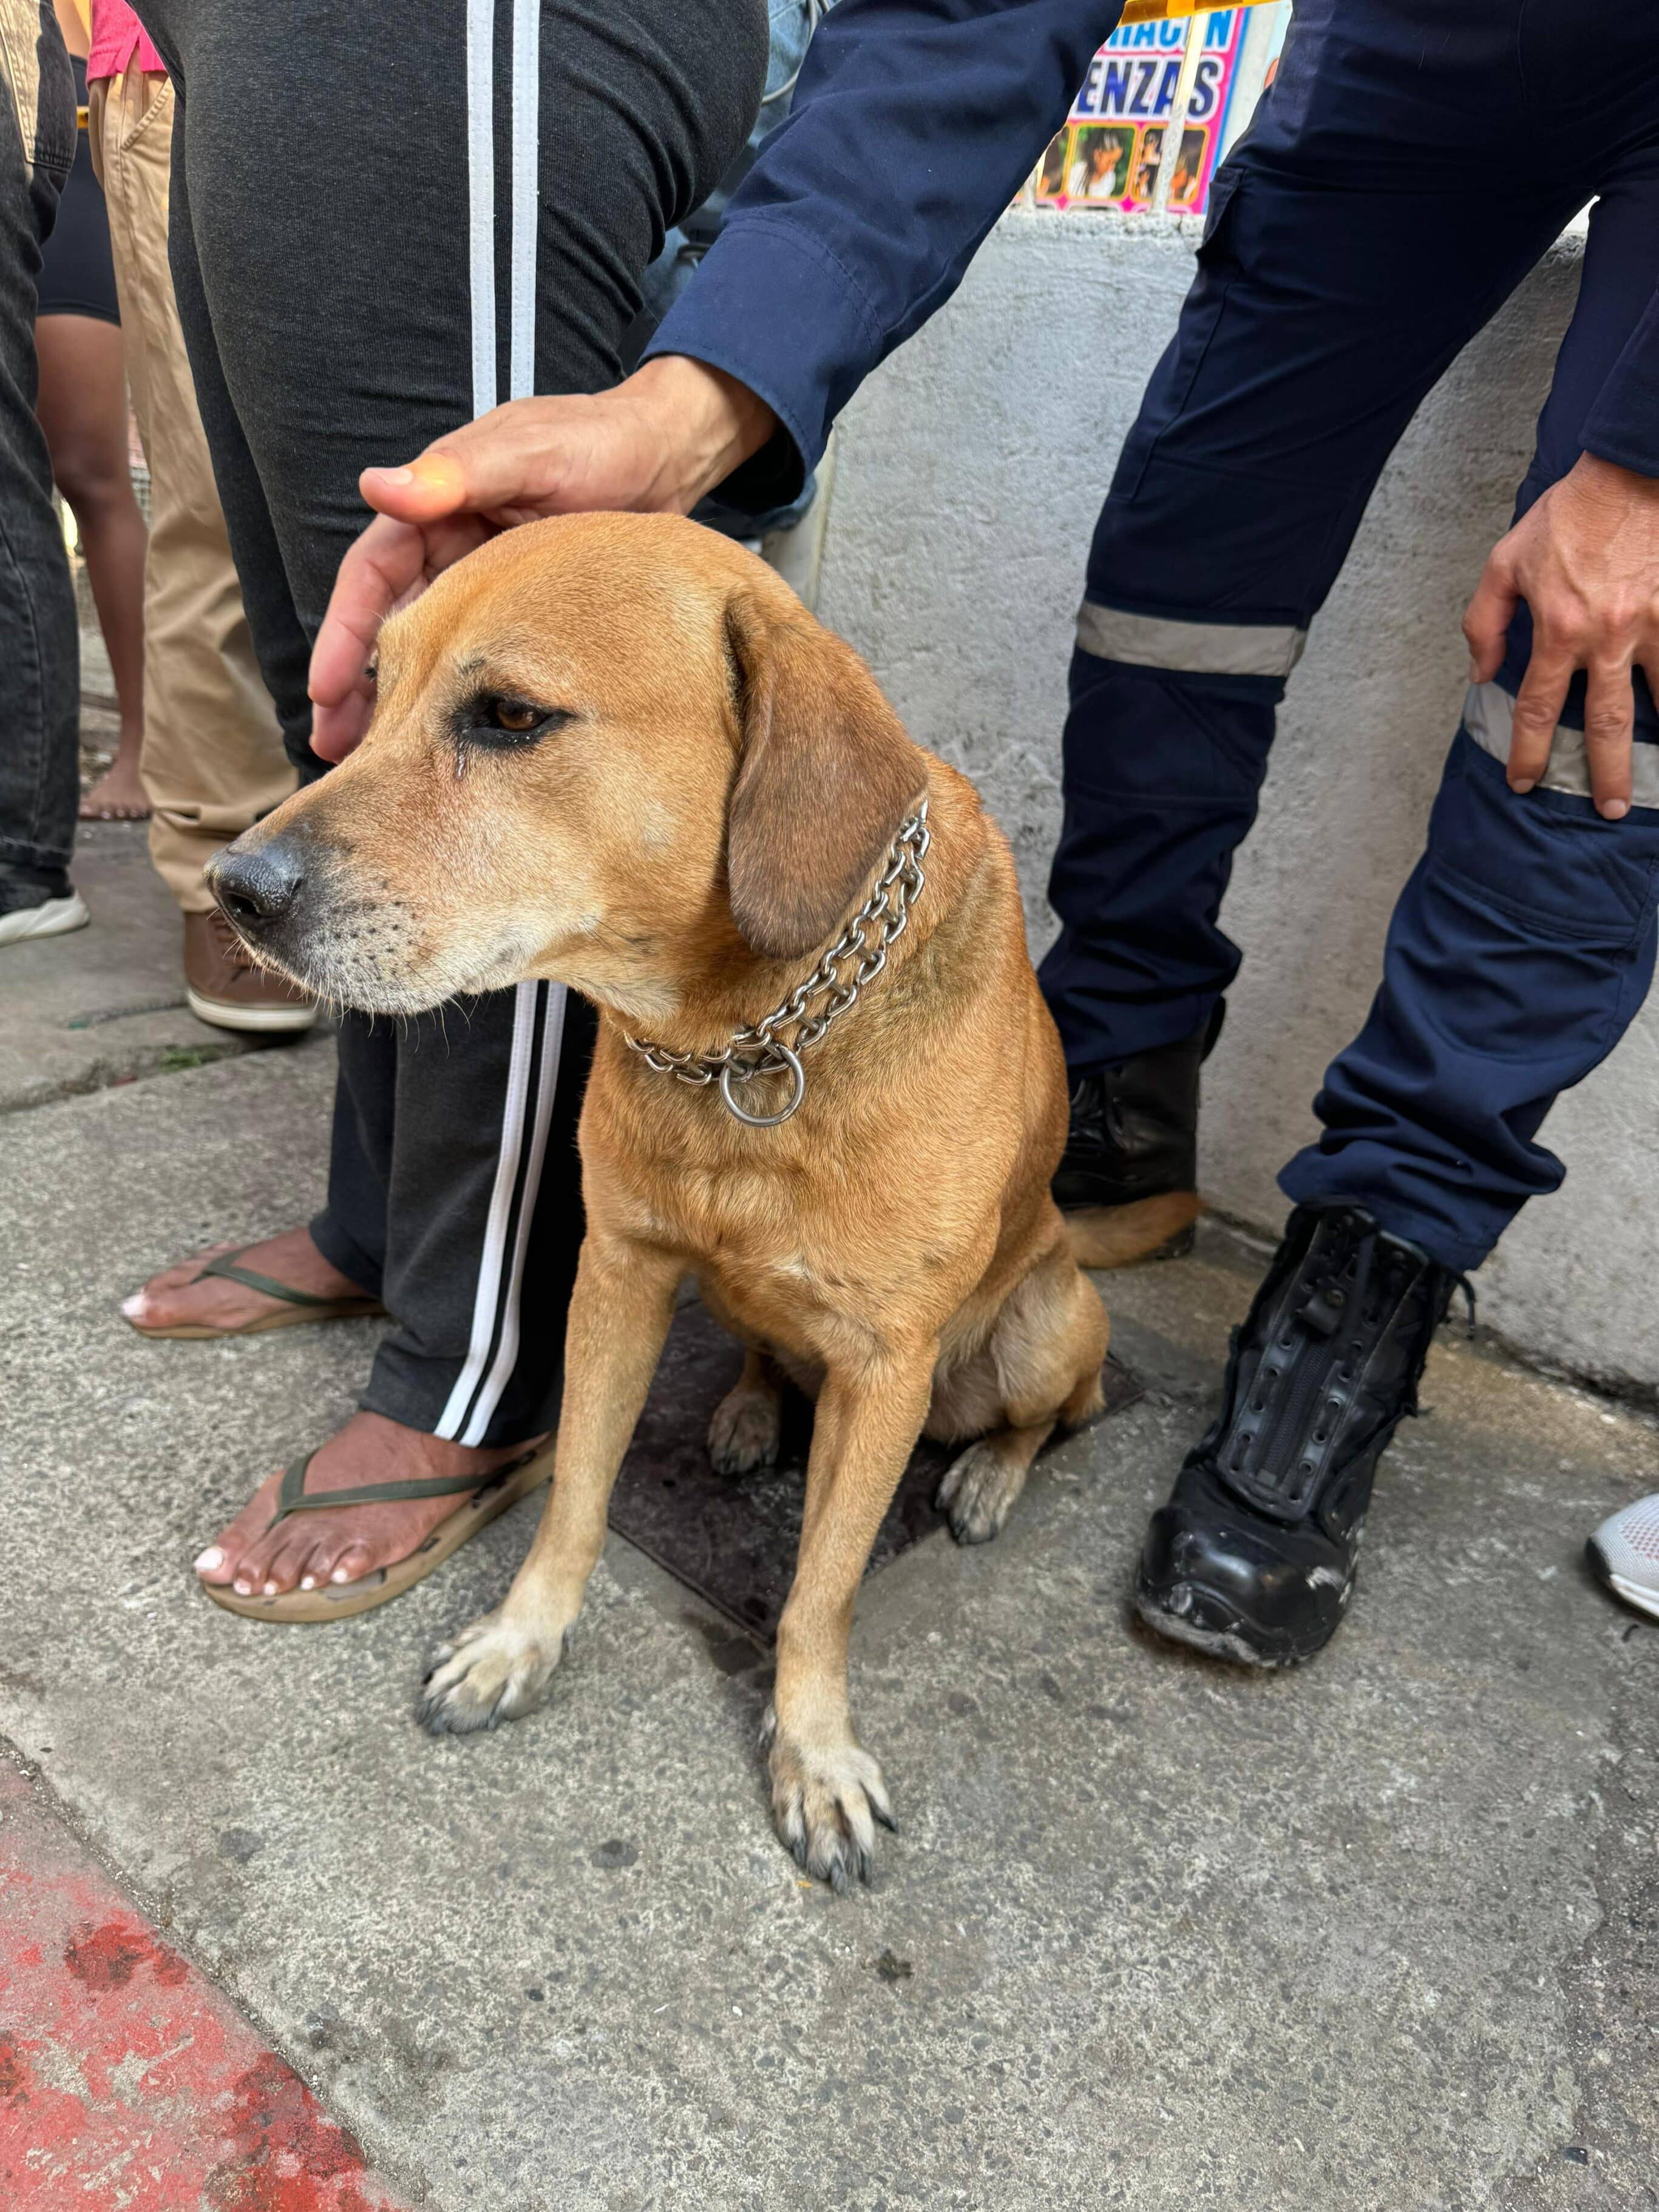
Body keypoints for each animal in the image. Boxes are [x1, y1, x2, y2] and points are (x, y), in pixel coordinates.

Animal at [214, 513, 1110, 1884]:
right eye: (373, 687)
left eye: (510, 716)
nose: (234, 889)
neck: (743, 1039)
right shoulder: (621, 1269)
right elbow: (576, 1492)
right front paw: (520, 1638)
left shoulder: (886, 1366)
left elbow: (820, 1590)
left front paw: (812, 1749)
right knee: (764, 1353)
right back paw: (748, 1409)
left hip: (1049, 1322)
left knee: (1062, 1408)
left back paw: (987, 1476)